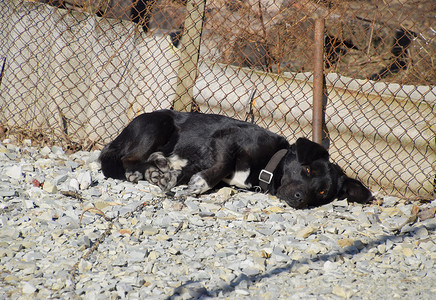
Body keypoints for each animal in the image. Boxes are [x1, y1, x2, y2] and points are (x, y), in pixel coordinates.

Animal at [99, 109, 372, 209]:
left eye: (323, 192)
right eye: (306, 171)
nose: (301, 199)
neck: (267, 166)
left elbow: (188, 172)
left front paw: (177, 178)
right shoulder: (226, 138)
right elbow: (221, 166)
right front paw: (199, 184)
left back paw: (158, 169)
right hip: (158, 124)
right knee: (128, 159)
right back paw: (142, 170)